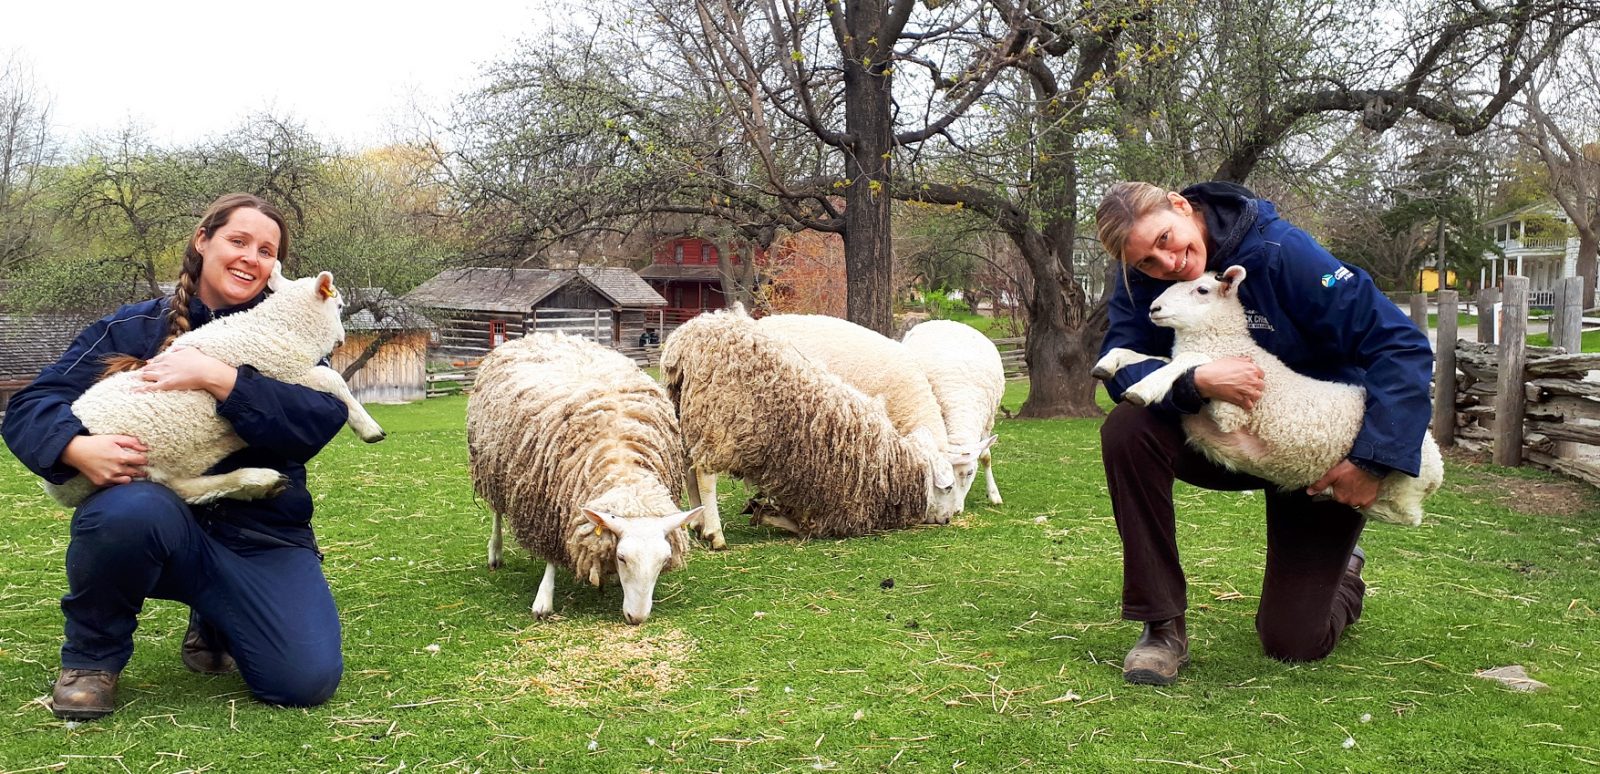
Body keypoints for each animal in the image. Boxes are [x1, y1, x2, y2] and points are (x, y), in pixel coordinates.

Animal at [42, 265, 385, 508]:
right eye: (338, 306)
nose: (342, 340)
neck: (282, 327)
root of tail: (58, 489)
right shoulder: (282, 370)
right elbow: (333, 379)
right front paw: (370, 428)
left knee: (181, 487)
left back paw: (254, 483)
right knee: (176, 486)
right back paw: (256, 480)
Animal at [467, 331, 707, 623]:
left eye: (663, 560)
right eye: (623, 557)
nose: (637, 618)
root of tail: (546, 335)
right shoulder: (550, 506)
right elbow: (552, 555)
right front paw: (543, 599)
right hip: (492, 465)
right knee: (497, 512)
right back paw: (495, 552)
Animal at [902, 318, 998, 508]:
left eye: (970, 472)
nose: (957, 509)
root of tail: (941, 320)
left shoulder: (987, 421)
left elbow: (985, 457)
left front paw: (994, 495)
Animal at [1094, 263, 1446, 524]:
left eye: (1202, 290)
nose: (1154, 308)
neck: (1229, 344)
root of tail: (1436, 462)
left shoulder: (1231, 410)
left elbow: (1187, 359)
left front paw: (1142, 389)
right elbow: (1146, 356)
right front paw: (1106, 364)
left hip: (1399, 488)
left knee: (1407, 517)